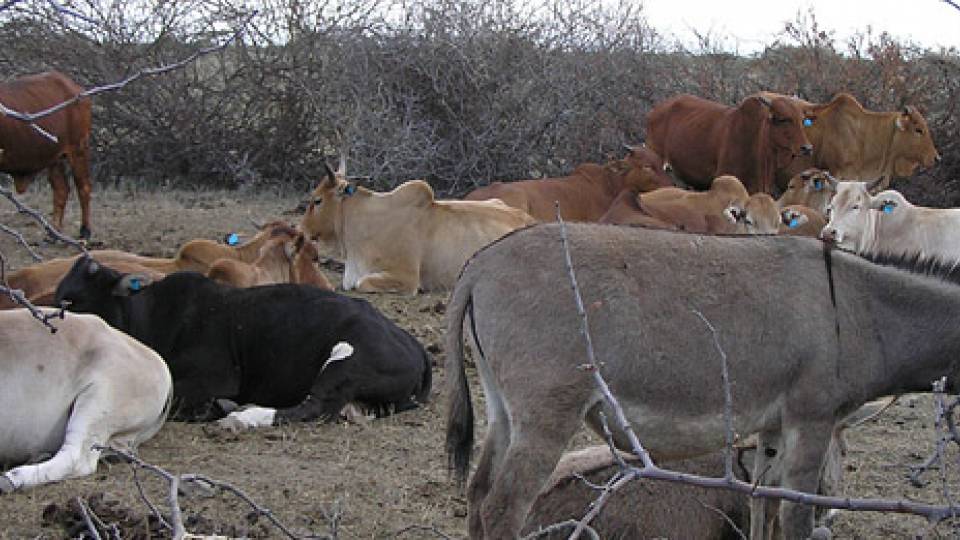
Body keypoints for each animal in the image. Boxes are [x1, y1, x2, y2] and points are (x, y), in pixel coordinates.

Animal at [0, 72, 93, 239]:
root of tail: (77, 90)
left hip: (79, 150)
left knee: (84, 187)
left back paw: (85, 231)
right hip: (55, 159)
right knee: (61, 190)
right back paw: (54, 233)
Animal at [54, 256, 431, 426]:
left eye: (70, 301)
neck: (152, 316)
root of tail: (414, 345)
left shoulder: (215, 376)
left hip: (345, 363)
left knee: (313, 407)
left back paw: (242, 417)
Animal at [445, 222, 960, 539]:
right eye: (847, 452)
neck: (859, 310)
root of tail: (478, 265)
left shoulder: (773, 428)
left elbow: (763, 505)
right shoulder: (811, 419)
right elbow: (793, 515)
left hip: (504, 408)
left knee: (478, 493)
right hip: (548, 415)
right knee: (503, 507)